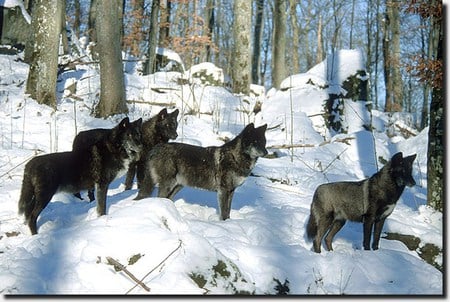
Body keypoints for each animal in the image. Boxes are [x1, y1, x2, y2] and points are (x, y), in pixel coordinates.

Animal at [134, 122, 268, 219]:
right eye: (255, 142)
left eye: (264, 142)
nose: (266, 152)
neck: (235, 157)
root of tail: (156, 148)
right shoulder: (224, 191)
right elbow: (224, 213)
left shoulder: (231, 191)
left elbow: (228, 211)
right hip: (168, 184)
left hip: (177, 186)